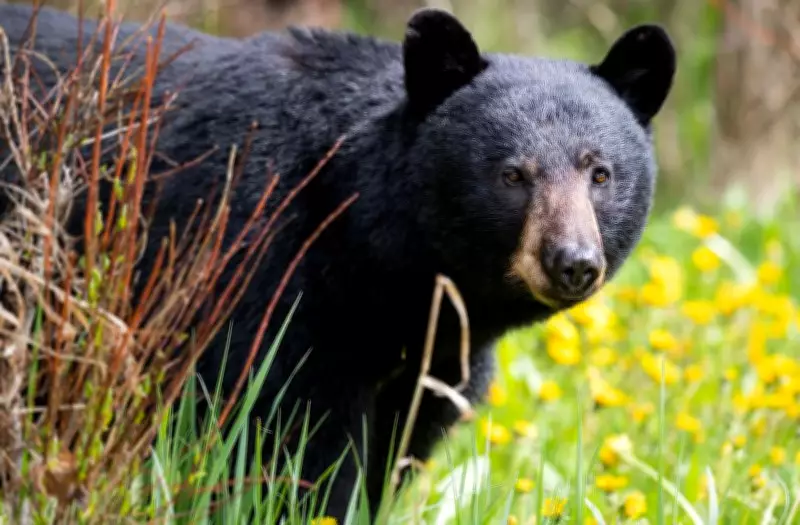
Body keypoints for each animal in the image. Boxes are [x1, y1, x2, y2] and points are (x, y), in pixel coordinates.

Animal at [0, 3, 676, 520]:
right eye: (512, 175)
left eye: (600, 173)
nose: (573, 262)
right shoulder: (261, 278)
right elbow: (288, 444)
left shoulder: (434, 360)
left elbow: (394, 451)